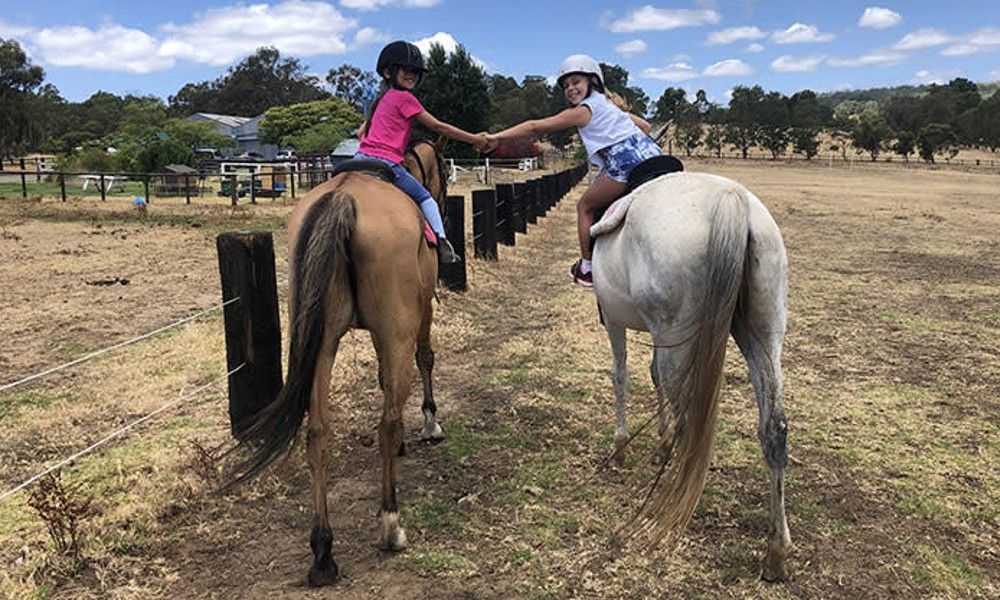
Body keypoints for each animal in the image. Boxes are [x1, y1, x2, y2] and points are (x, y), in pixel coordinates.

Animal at [226, 139, 449, 586]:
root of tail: (343, 198)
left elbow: (383, 381)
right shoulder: (414, 320)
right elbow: (423, 360)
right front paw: (429, 423)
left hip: (321, 341)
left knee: (318, 432)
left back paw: (322, 552)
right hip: (393, 329)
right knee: (385, 423)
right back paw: (390, 527)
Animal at [591, 170, 792, 581]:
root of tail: (730, 200)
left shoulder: (614, 320)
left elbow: (621, 373)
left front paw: (622, 446)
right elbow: (652, 375)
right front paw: (660, 441)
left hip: (678, 331)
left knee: (689, 419)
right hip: (762, 333)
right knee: (774, 429)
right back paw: (776, 551)